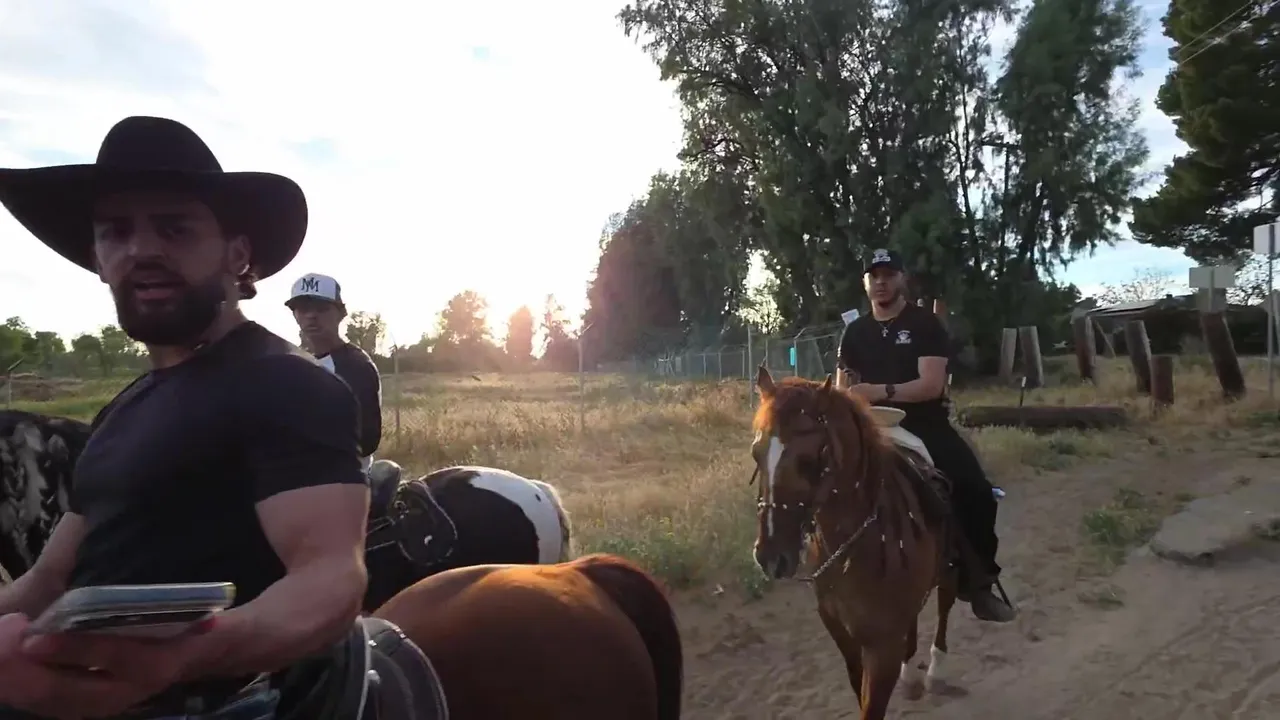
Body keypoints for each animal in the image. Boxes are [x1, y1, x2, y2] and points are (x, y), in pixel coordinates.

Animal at [750, 366, 959, 719]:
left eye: (810, 459)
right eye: (756, 453)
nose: (770, 556)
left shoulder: (882, 647)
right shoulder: (843, 634)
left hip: (949, 571)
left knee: (945, 603)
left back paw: (935, 671)